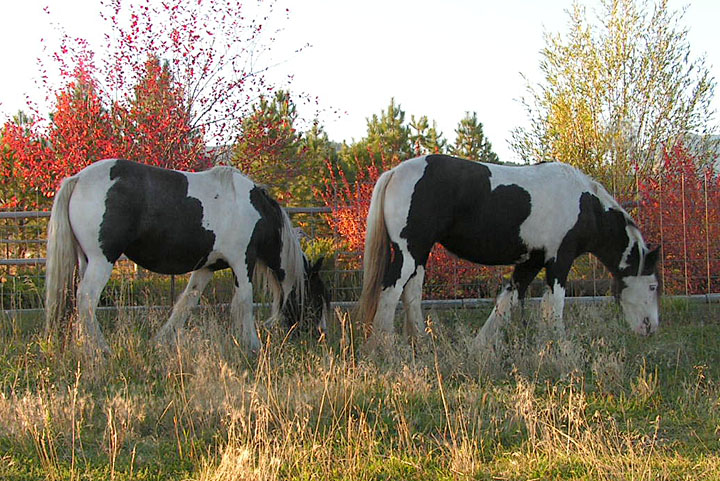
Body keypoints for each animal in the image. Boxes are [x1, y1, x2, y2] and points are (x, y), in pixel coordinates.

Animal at [47, 158, 332, 352]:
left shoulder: (206, 267)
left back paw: (85, 347)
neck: (257, 213)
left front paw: (160, 340)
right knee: (86, 299)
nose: (321, 336)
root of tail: (77, 179)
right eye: (317, 299)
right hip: (102, 260)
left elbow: (186, 302)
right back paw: (101, 350)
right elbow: (244, 303)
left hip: (86, 261)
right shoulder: (243, 262)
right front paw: (253, 345)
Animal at [358, 154, 660, 344]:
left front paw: (479, 348)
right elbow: (555, 306)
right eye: (653, 286)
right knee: (390, 293)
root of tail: (394, 172)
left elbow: (507, 300)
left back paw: (419, 344)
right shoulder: (559, 260)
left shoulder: (532, 261)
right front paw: (562, 349)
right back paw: (385, 351)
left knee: (411, 294)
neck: (585, 203)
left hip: (419, 253)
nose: (651, 328)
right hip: (409, 253)